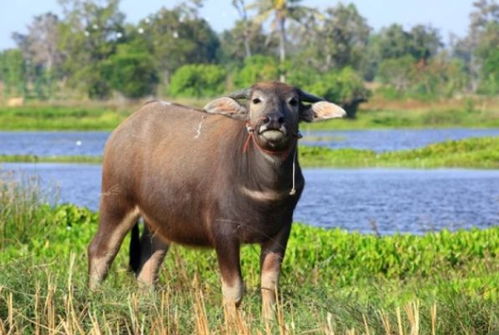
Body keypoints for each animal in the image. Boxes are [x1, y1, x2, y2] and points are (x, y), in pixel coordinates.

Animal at [88, 80, 346, 318]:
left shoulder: (280, 232)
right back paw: (93, 299)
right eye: (256, 100)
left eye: (292, 101)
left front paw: (270, 321)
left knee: (147, 268)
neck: (263, 189)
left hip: (160, 224)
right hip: (117, 203)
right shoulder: (224, 234)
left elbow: (269, 286)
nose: (273, 120)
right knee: (101, 251)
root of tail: (123, 130)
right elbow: (234, 290)